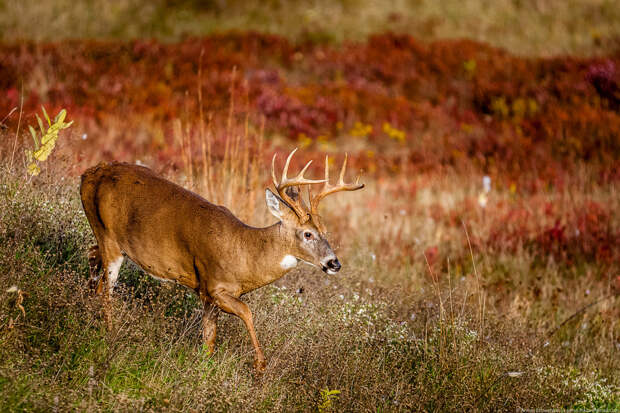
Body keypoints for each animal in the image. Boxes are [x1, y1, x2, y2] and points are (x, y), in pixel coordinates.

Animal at [81, 148, 364, 370]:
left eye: (325, 231)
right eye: (307, 234)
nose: (334, 263)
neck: (245, 253)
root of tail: (89, 174)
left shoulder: (207, 296)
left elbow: (209, 339)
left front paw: (206, 365)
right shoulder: (213, 285)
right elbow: (247, 311)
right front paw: (260, 365)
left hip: (103, 236)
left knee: (92, 258)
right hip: (109, 236)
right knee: (107, 289)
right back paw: (110, 333)